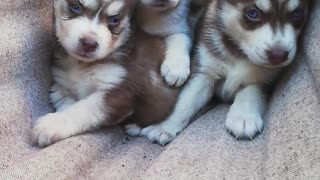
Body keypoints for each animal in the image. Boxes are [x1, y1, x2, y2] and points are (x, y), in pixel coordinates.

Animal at [32, 0, 182, 147]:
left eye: (115, 20)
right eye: (76, 7)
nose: (89, 43)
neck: (82, 65)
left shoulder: (119, 89)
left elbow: (82, 110)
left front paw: (51, 125)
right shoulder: (61, 83)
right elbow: (66, 100)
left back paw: (134, 127)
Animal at [140, 0, 310, 145]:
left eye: (298, 12)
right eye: (253, 13)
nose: (279, 55)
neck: (239, 53)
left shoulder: (264, 79)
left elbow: (250, 91)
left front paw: (243, 116)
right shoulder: (203, 71)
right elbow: (185, 102)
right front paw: (164, 126)